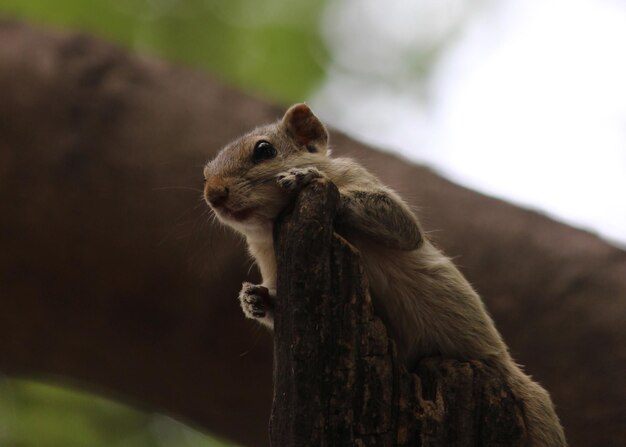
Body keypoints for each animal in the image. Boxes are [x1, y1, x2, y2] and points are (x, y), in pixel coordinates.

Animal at [202, 103, 564, 446]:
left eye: (264, 150)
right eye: (205, 173)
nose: (213, 194)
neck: (269, 225)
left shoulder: (361, 180)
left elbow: (403, 227)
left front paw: (305, 177)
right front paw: (254, 299)